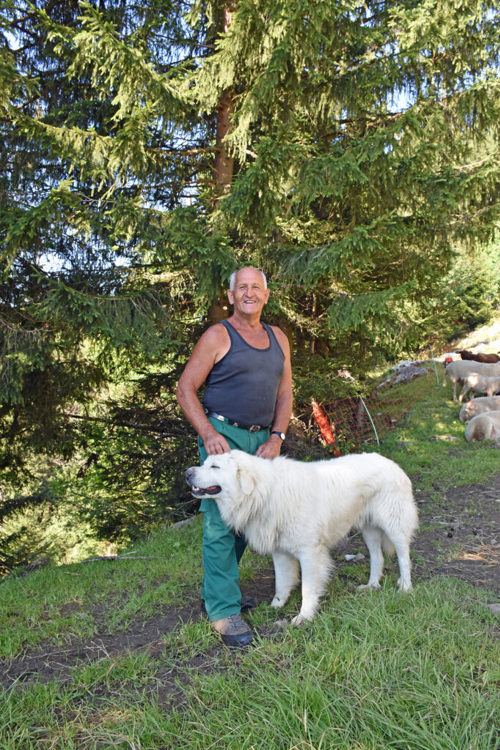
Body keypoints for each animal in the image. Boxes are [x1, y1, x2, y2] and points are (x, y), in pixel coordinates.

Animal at [186, 450, 420, 624]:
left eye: (215, 467)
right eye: (205, 463)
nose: (187, 472)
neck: (265, 493)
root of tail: (390, 462)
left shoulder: (309, 553)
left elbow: (308, 588)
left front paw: (304, 616)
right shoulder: (280, 552)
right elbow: (281, 582)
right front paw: (276, 605)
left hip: (394, 525)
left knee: (404, 557)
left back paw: (406, 588)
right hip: (369, 529)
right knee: (377, 557)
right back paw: (371, 586)